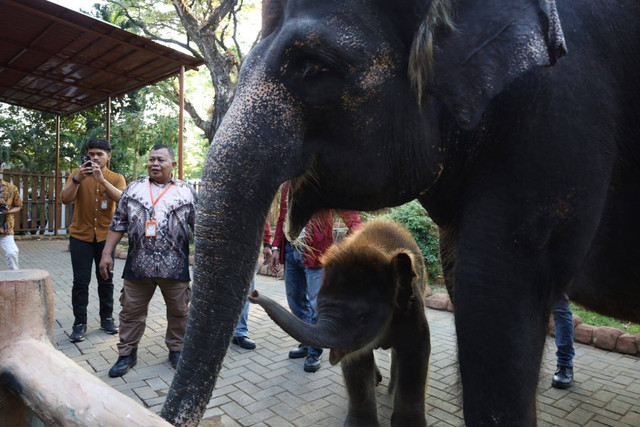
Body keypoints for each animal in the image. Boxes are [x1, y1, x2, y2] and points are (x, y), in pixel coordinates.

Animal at [250, 219, 430, 426]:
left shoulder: (412, 311)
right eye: (319, 306)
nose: (253, 293)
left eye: (363, 317)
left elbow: (415, 354)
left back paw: (390, 389)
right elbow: (357, 362)